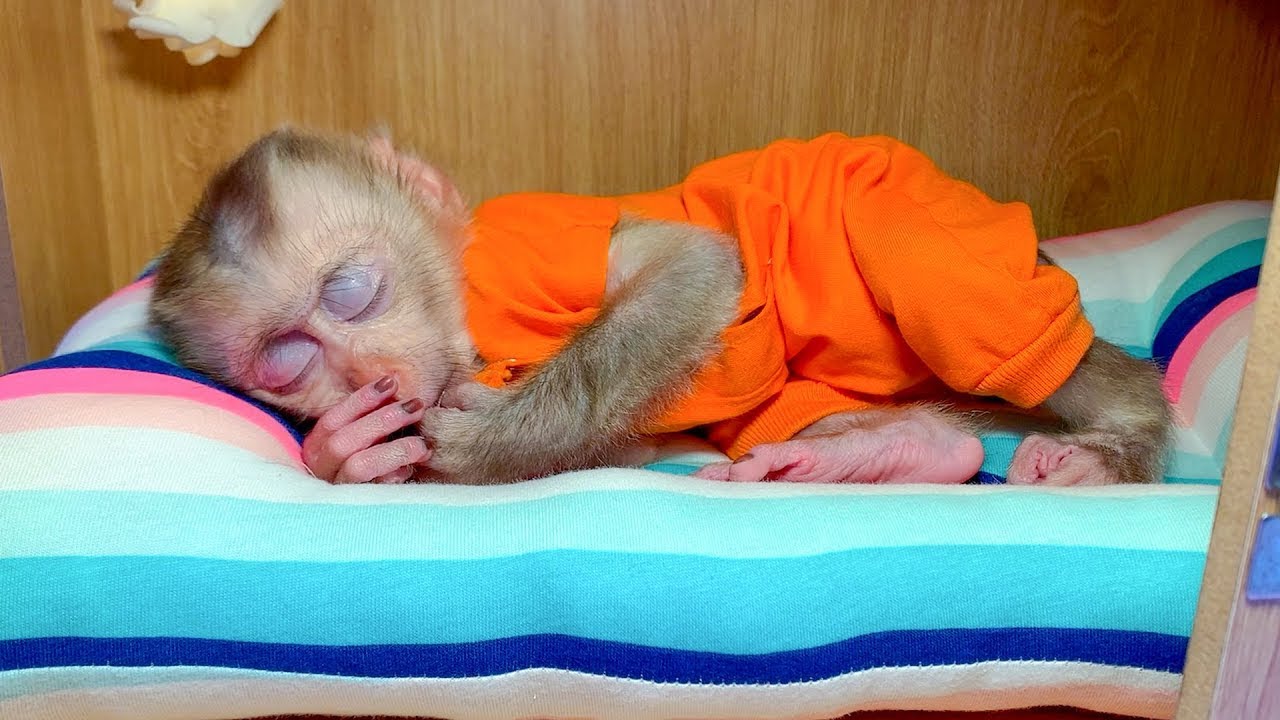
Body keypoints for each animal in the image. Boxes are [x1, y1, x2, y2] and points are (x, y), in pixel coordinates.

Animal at [147, 127, 1173, 487]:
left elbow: (693, 266)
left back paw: (1112, 439)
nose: (366, 373)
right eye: (289, 360)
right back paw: (894, 453)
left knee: (930, 275)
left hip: (904, 199)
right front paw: (345, 448)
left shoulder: (525, 241)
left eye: (350, 293)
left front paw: (491, 440)